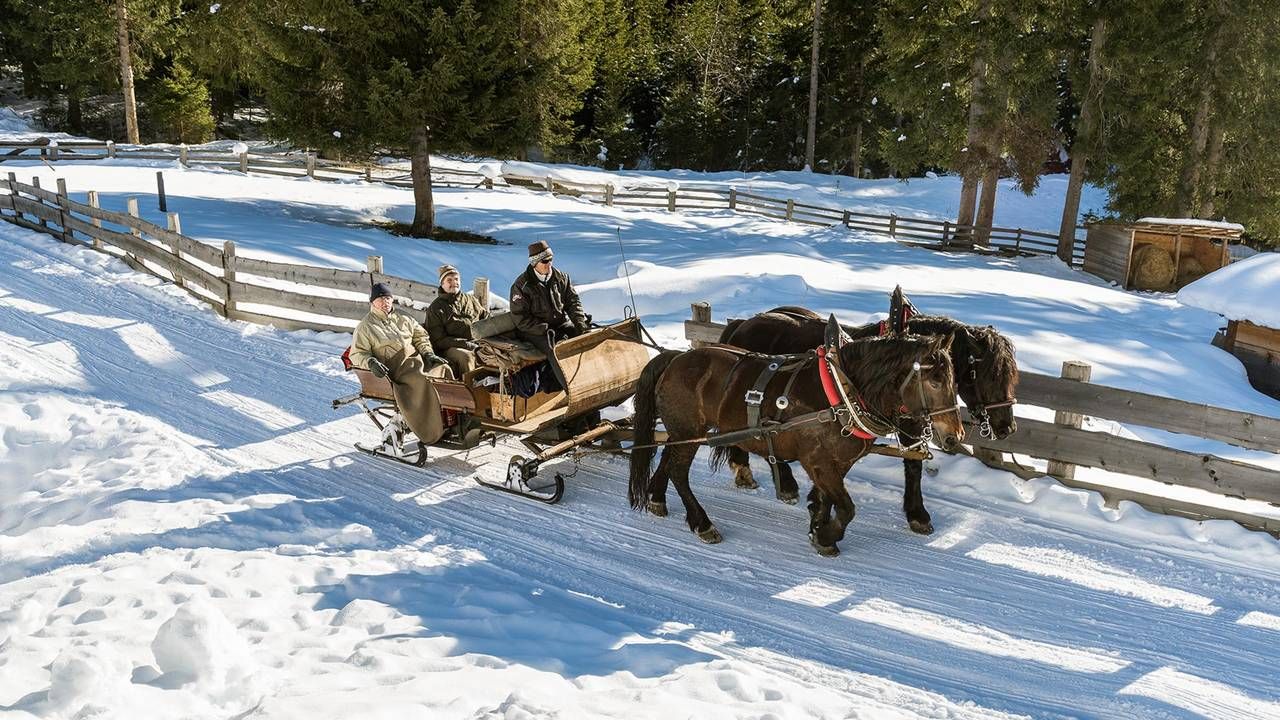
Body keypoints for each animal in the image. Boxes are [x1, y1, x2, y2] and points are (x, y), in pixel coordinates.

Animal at [629, 330, 962, 556]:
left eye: (954, 381)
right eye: (935, 381)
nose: (955, 436)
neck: (841, 391)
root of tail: (675, 357)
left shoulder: (836, 463)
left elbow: (829, 499)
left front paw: (818, 526)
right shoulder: (817, 461)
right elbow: (847, 508)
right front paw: (828, 536)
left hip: (682, 432)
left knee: (667, 459)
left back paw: (657, 498)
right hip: (688, 431)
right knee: (679, 472)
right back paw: (703, 524)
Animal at [721, 302, 1018, 532]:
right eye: (990, 374)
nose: (1008, 427)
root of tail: (743, 323)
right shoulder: (907, 423)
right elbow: (913, 465)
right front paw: (918, 515)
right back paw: (765, 477)